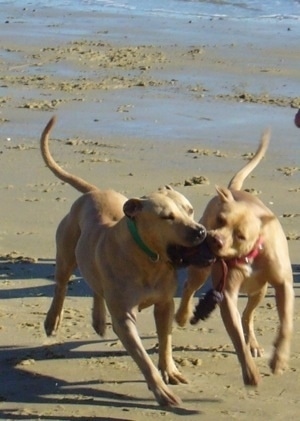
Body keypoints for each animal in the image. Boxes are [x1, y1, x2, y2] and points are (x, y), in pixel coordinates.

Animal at [39, 116, 210, 406]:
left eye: (189, 210)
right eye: (166, 217)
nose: (200, 231)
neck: (149, 259)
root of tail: (93, 192)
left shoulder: (164, 303)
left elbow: (165, 339)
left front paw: (170, 370)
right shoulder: (125, 318)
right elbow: (142, 358)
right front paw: (160, 390)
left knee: (95, 285)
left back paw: (98, 320)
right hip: (66, 253)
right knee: (61, 285)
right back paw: (53, 320)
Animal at [175, 129, 294, 388]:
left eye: (240, 235)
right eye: (220, 220)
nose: (214, 240)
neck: (249, 255)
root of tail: (235, 190)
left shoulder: (283, 285)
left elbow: (285, 323)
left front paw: (279, 359)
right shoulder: (227, 294)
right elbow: (236, 337)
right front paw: (250, 372)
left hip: (259, 291)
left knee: (248, 316)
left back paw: (255, 344)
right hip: (201, 271)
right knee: (189, 288)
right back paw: (182, 315)